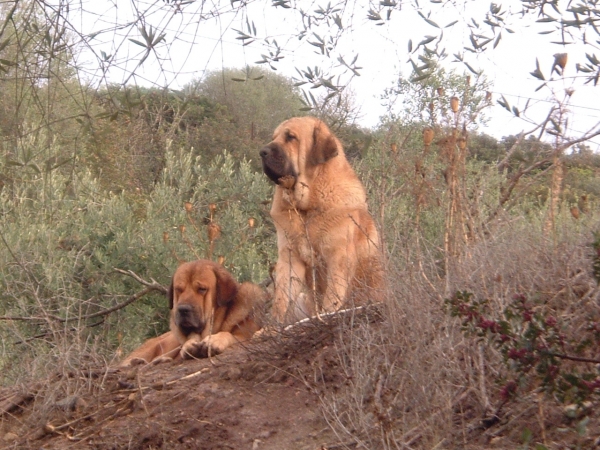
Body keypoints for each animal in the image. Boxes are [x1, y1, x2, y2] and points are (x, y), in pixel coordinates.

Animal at [120, 258, 264, 368]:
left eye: (202, 289)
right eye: (178, 289)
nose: (183, 309)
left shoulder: (245, 335)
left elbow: (229, 334)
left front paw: (214, 340)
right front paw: (190, 345)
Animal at [258, 114, 384, 322]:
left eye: (291, 137)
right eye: (274, 137)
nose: (262, 152)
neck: (308, 207)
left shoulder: (338, 258)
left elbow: (332, 297)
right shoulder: (290, 258)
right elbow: (281, 299)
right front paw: (273, 325)